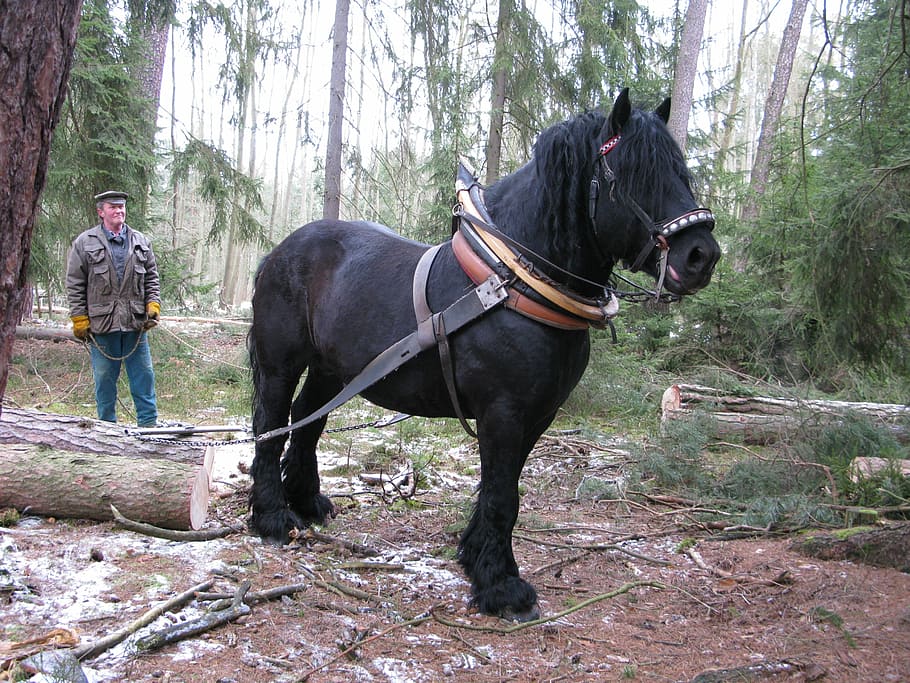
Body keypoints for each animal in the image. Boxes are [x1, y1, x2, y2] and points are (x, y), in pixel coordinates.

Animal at [247, 88, 720, 621]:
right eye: (632, 173)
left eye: (680, 170)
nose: (701, 255)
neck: (514, 278)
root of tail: (279, 251)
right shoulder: (503, 412)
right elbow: (502, 496)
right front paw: (501, 586)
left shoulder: (538, 415)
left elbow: (503, 489)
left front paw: (477, 557)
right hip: (280, 365)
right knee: (270, 425)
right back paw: (273, 517)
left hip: (333, 370)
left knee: (307, 421)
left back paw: (307, 503)